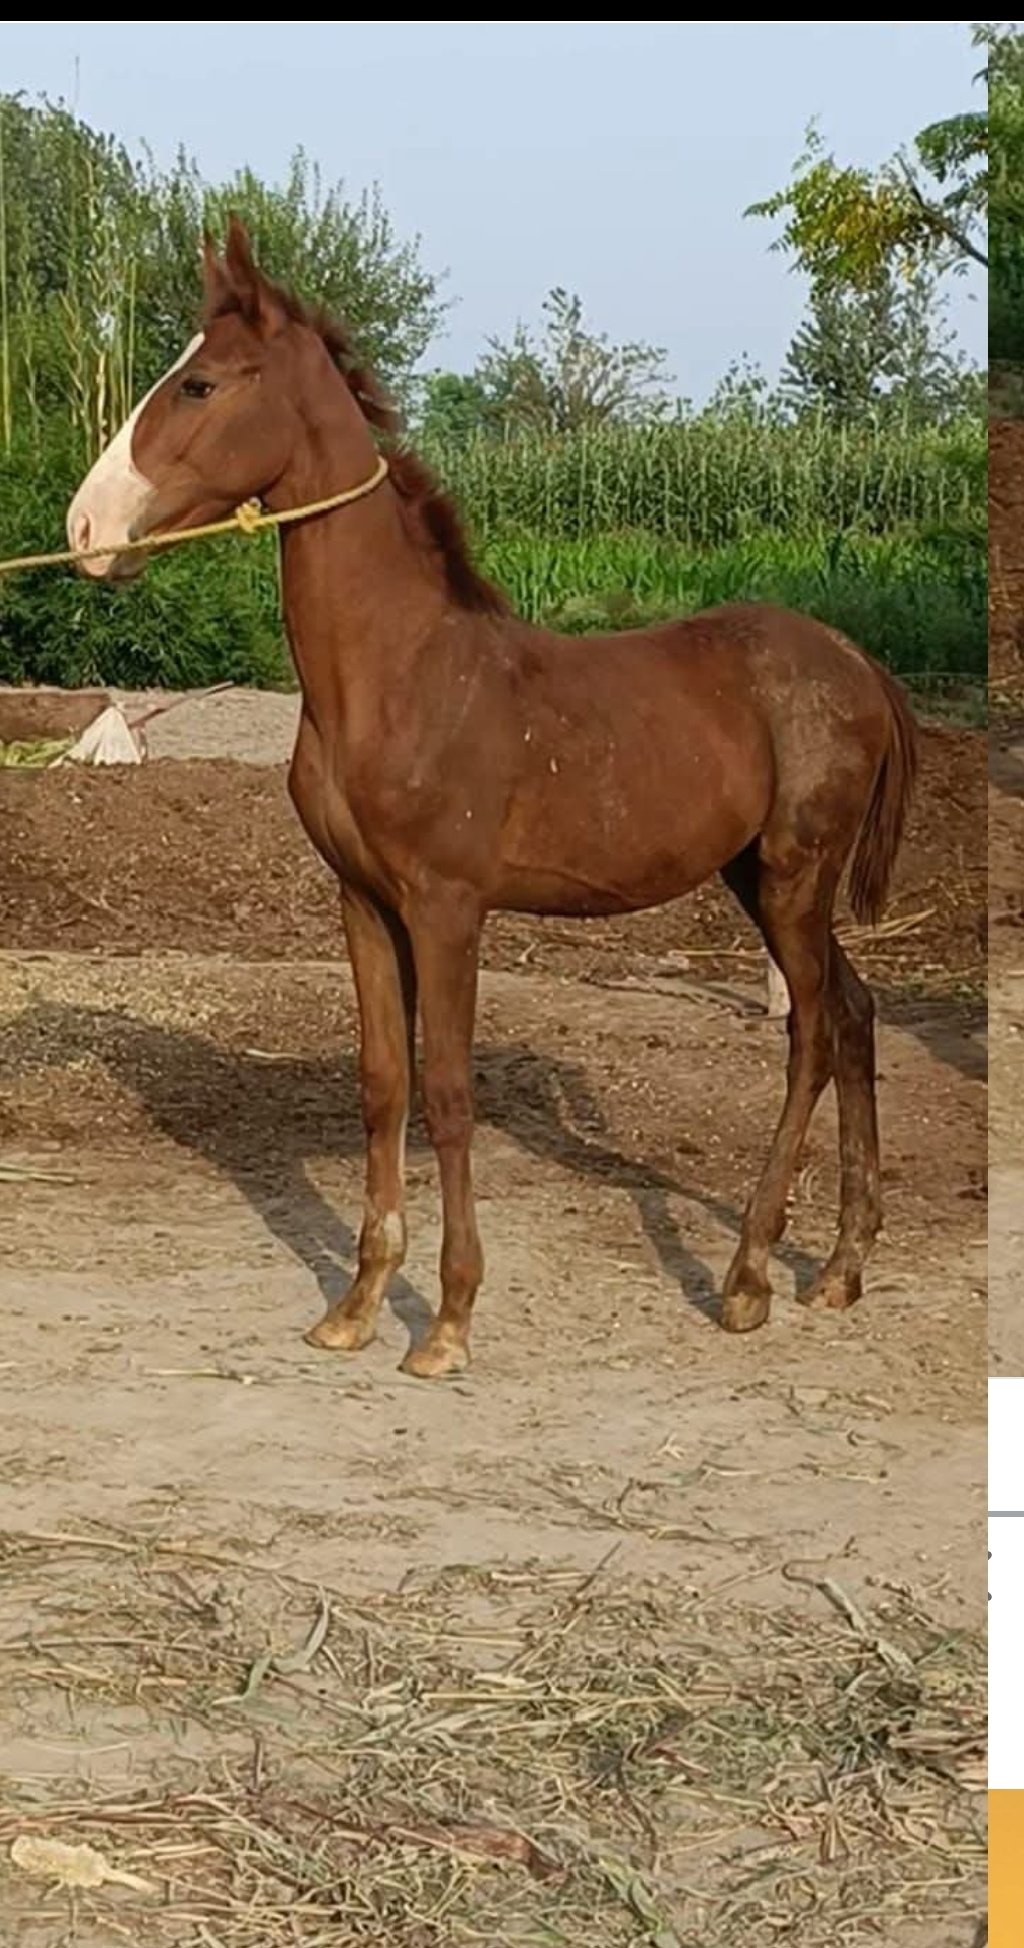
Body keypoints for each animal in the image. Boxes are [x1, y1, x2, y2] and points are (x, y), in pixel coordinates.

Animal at [66, 217, 917, 1380]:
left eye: (198, 384)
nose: (84, 528)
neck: (399, 674)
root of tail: (855, 661)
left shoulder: (448, 907)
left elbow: (450, 1093)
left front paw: (449, 1321)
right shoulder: (363, 903)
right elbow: (385, 1083)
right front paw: (356, 1306)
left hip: (793, 879)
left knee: (816, 1034)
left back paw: (747, 1277)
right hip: (761, 880)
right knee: (859, 1014)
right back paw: (839, 1266)